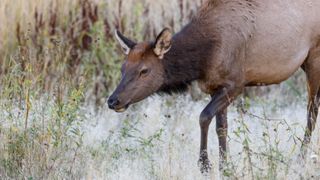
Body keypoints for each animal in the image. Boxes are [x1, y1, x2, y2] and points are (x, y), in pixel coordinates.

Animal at [107, 0, 320, 172]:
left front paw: (205, 164)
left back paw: (301, 158)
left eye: (144, 70)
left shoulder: (236, 84)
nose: (113, 100)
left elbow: (203, 117)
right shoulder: (215, 87)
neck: (203, 60)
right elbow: (222, 126)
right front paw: (224, 166)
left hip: (314, 59)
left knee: (312, 110)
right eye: (122, 68)